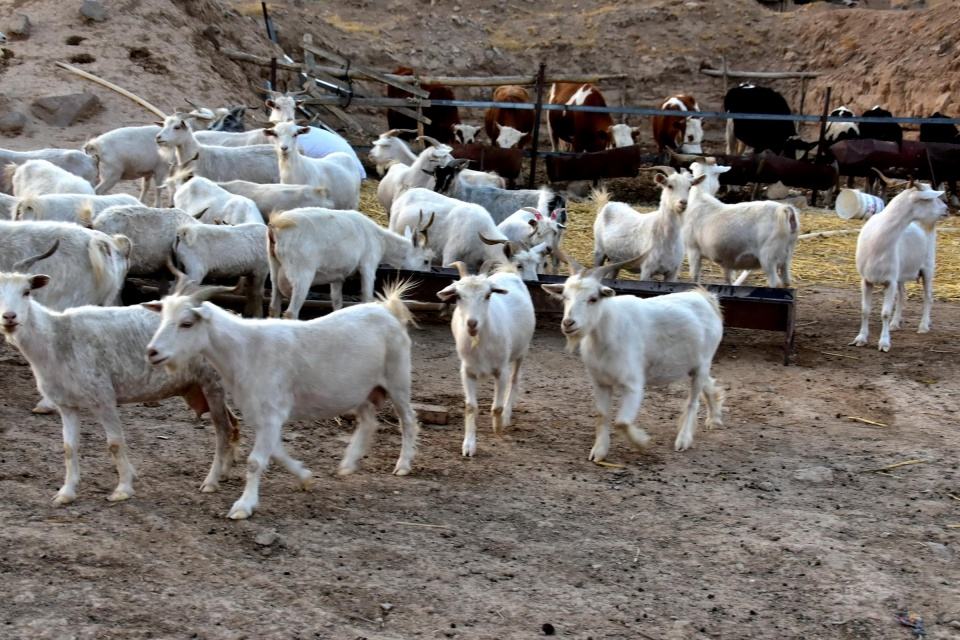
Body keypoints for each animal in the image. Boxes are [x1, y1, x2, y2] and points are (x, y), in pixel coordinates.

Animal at [145, 280, 420, 520]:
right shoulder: (260, 414)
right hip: (359, 389)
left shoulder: (271, 413)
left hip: (397, 379)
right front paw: (305, 476)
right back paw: (348, 464)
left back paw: (403, 465)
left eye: (187, 323)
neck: (245, 350)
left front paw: (243, 506)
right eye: (163, 318)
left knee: (408, 420)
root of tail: (389, 310)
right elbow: (276, 451)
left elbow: (255, 461)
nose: (152, 352)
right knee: (368, 420)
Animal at [270, 208, 436, 318]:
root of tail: (276, 227)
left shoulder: (337, 276)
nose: (428, 274)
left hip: (274, 270)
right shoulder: (368, 266)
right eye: (426, 260)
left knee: (274, 307)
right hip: (302, 275)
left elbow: (337, 301)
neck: (380, 240)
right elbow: (367, 297)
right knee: (291, 312)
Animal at [436, 262, 536, 458]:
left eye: (488, 295)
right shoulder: (467, 372)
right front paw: (468, 446)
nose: (472, 323)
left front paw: (498, 427)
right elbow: (470, 406)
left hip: (522, 351)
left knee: (515, 380)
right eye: (458, 296)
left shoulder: (501, 371)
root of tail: (508, 271)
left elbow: (497, 407)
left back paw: (506, 416)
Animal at [544, 255, 724, 460]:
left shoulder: (633, 385)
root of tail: (705, 298)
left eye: (593, 298)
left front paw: (641, 443)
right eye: (565, 297)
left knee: (693, 401)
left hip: (704, 362)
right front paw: (599, 451)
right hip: (691, 365)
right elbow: (602, 415)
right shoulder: (601, 383)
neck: (608, 331)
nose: (568, 323)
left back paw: (683, 439)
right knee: (708, 384)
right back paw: (714, 419)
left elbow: (621, 422)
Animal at [852, 179, 948, 350]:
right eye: (930, 199)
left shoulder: (889, 281)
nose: (947, 209)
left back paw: (923, 326)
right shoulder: (866, 280)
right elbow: (865, 310)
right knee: (903, 295)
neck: (878, 242)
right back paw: (895, 323)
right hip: (900, 274)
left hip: (928, 266)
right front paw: (861, 338)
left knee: (928, 296)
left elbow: (885, 313)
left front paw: (884, 343)